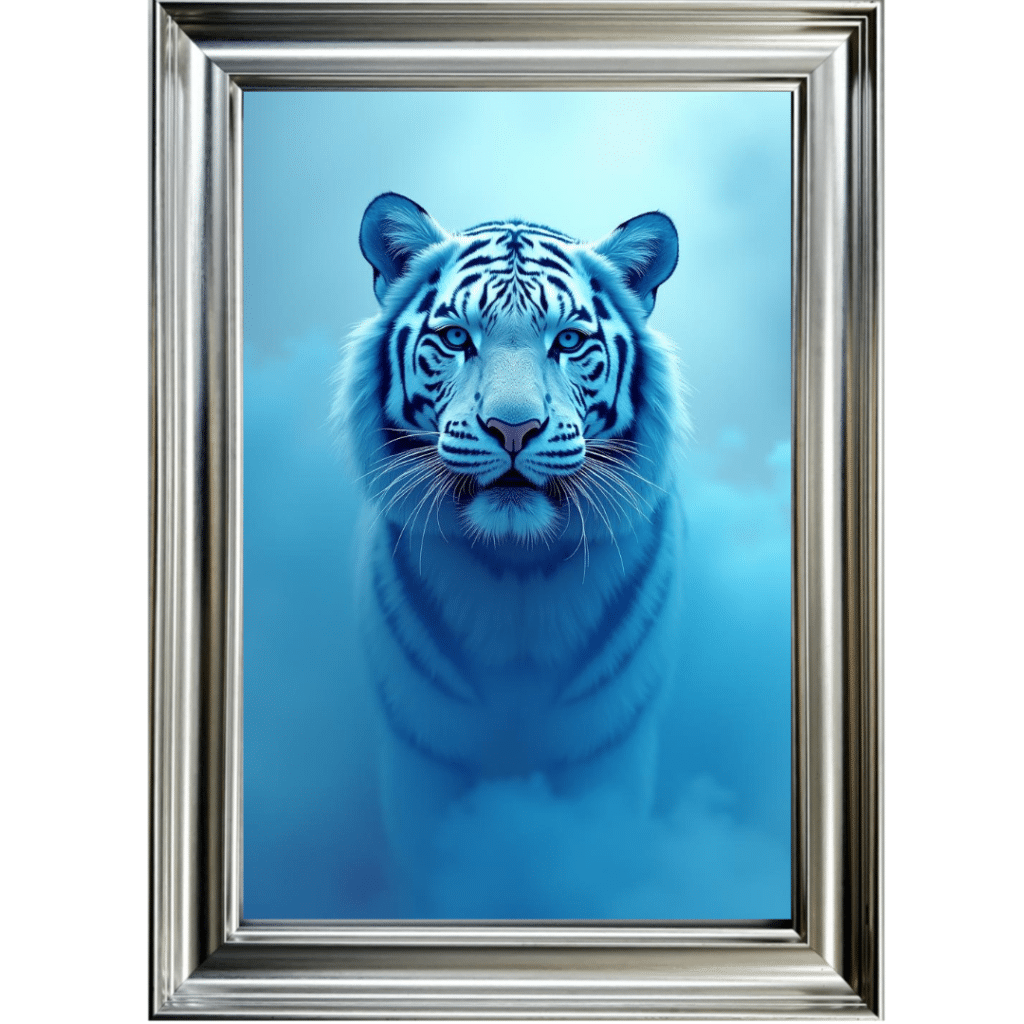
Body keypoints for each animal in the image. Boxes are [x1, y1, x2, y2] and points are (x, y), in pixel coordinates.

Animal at [332, 193, 686, 904]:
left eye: (569, 341)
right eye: (456, 339)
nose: (514, 427)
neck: (517, 572)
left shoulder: (608, 751)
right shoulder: (423, 761)